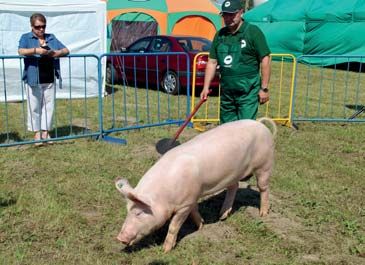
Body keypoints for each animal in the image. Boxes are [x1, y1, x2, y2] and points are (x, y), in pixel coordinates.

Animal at [115, 117, 274, 252]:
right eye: (128, 210)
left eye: (139, 213)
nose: (120, 238)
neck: (163, 195)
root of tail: (259, 123)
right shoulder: (191, 197)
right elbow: (195, 211)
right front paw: (201, 226)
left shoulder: (184, 205)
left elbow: (173, 226)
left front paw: (166, 250)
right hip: (234, 172)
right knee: (233, 187)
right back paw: (222, 216)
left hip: (264, 164)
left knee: (263, 188)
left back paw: (263, 214)